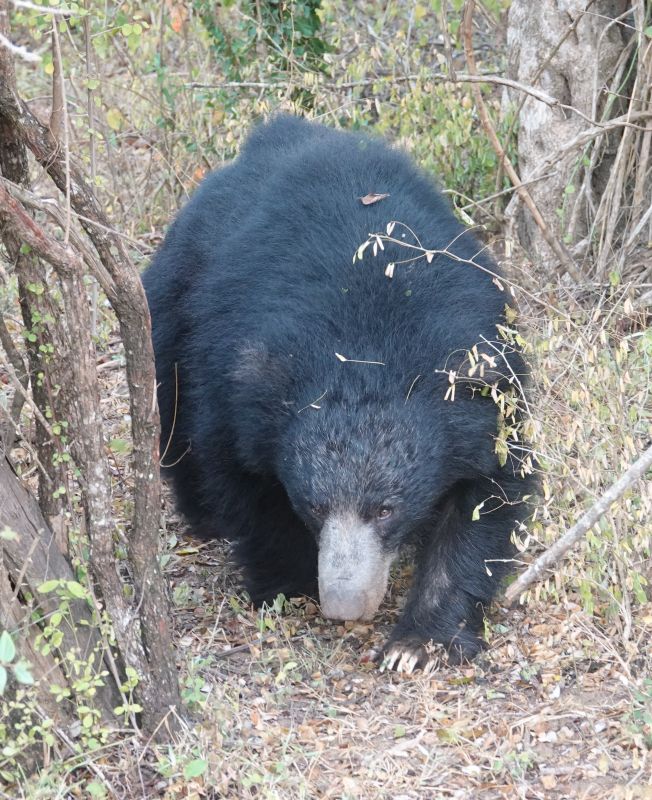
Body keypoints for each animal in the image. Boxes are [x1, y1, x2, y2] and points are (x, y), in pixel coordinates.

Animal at [142, 114, 532, 672]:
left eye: (386, 509)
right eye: (314, 506)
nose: (346, 604)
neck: (365, 349)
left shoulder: (482, 381)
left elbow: (488, 492)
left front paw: (416, 646)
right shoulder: (239, 390)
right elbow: (242, 477)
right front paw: (289, 579)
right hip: (172, 307)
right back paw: (203, 517)